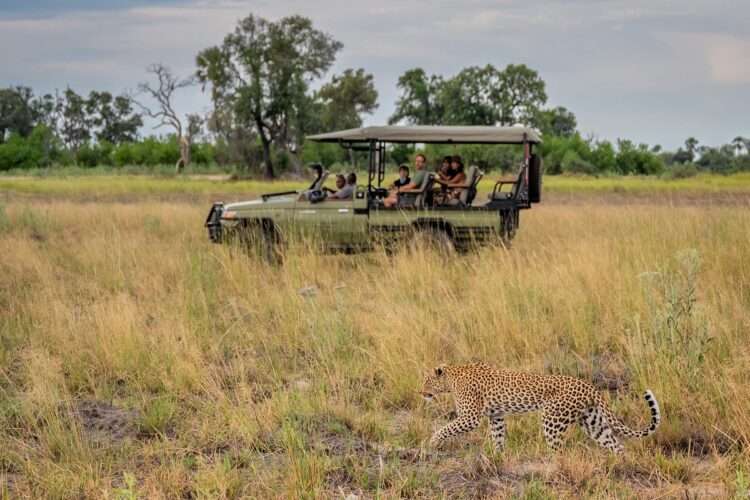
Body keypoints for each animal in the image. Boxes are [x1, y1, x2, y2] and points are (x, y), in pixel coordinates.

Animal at [424, 362, 664, 456]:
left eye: (426, 381)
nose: (421, 392)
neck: (452, 377)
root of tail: (589, 386)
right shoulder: (497, 415)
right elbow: (498, 436)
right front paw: (498, 456)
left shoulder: (470, 417)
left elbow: (445, 428)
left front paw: (432, 442)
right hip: (592, 421)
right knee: (616, 445)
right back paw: (619, 463)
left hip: (552, 418)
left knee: (558, 450)